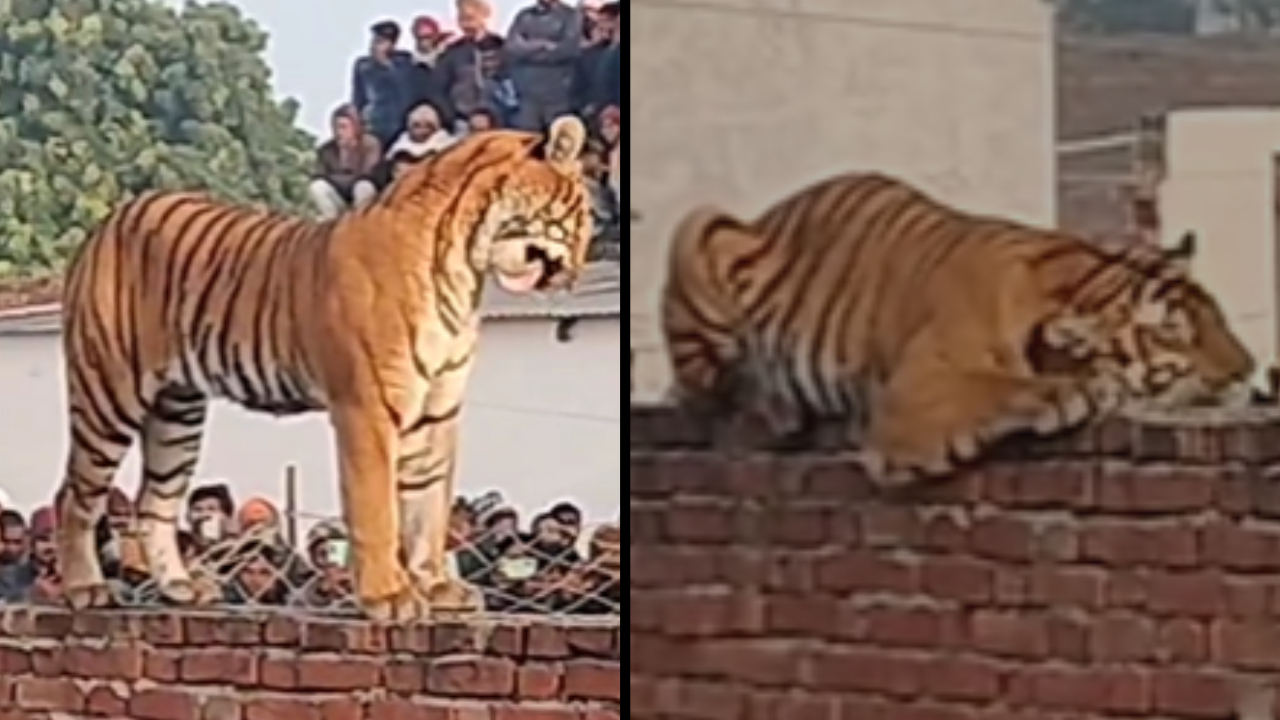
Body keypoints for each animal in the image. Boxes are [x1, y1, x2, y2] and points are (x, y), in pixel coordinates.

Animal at [54, 116, 592, 620]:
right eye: (580, 216)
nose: (576, 274)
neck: (463, 268)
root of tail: (114, 216)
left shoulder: (436, 410)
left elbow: (429, 508)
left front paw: (438, 589)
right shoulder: (368, 406)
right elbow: (377, 511)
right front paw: (389, 597)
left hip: (177, 410)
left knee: (155, 500)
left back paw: (180, 587)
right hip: (108, 391)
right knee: (75, 496)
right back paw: (85, 589)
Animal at [661, 171, 1254, 486]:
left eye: (1219, 316)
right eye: (1172, 334)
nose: (1248, 372)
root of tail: (771, 211)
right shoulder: (915, 390)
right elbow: (995, 385)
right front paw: (1075, 391)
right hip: (700, 224)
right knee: (704, 389)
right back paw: (772, 402)